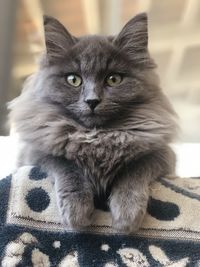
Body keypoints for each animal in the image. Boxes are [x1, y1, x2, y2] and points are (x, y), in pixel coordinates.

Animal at [8, 13, 177, 233]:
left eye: (113, 79)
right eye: (73, 80)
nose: (92, 101)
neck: (97, 137)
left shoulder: (162, 155)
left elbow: (134, 173)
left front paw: (126, 216)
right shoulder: (36, 154)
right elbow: (67, 167)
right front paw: (77, 214)